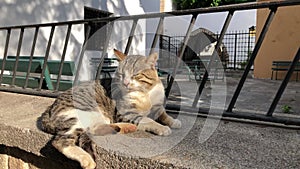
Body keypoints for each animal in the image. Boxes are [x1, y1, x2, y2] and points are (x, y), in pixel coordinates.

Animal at [39, 49, 180, 169]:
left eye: (135, 75)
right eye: (121, 74)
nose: (125, 83)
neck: (145, 94)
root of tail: (49, 109)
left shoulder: (157, 106)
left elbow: (163, 114)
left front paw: (173, 121)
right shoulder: (126, 113)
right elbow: (148, 120)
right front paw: (162, 128)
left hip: (99, 118)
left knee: (92, 130)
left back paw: (124, 128)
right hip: (82, 114)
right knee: (61, 141)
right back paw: (87, 159)